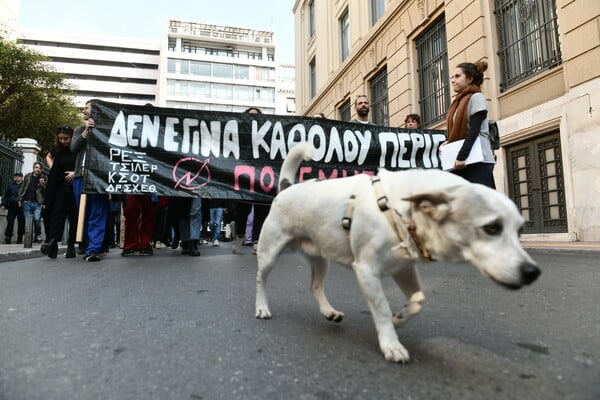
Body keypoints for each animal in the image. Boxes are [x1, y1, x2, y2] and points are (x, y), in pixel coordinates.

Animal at [255, 141, 540, 362]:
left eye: (520, 230)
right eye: (492, 228)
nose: (532, 272)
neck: (397, 208)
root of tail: (287, 187)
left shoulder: (404, 269)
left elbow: (419, 300)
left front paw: (400, 318)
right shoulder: (367, 272)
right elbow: (381, 308)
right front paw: (391, 344)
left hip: (320, 256)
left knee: (315, 285)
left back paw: (328, 311)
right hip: (270, 253)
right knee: (261, 279)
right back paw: (261, 308)